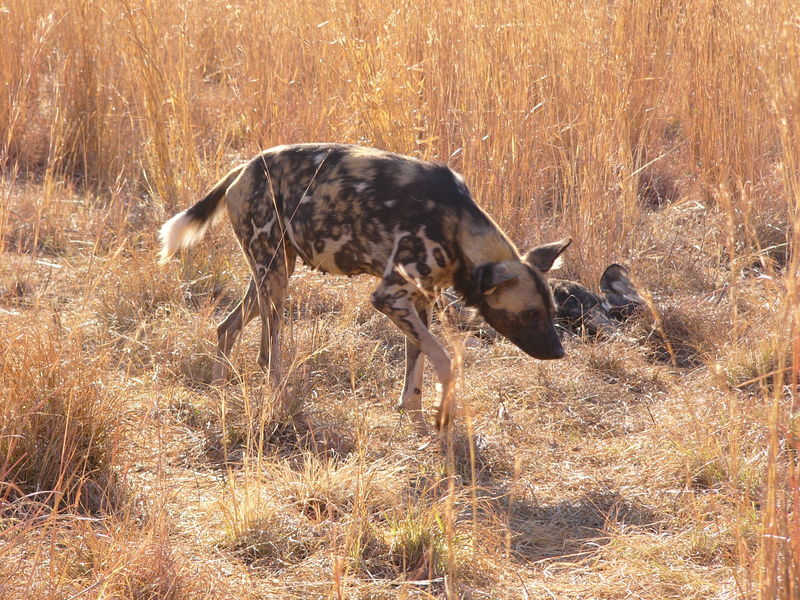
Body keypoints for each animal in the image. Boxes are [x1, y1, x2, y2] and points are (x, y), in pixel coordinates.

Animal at [158, 145, 568, 432]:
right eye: (530, 313)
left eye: (552, 312)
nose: (559, 353)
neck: (457, 225)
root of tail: (244, 168)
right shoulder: (388, 298)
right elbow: (446, 361)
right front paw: (443, 413)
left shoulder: (417, 302)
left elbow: (416, 370)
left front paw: (418, 422)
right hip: (272, 277)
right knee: (267, 353)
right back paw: (279, 402)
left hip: (273, 276)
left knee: (227, 328)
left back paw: (219, 391)